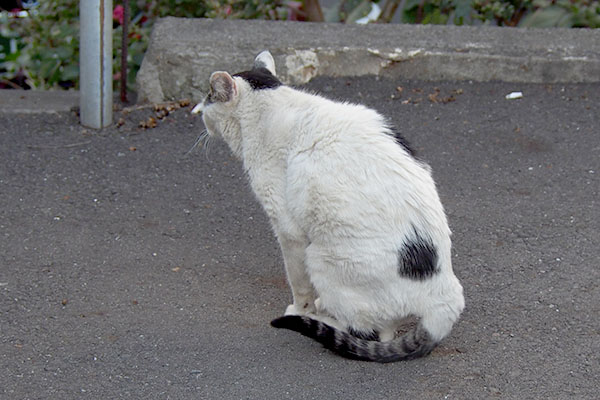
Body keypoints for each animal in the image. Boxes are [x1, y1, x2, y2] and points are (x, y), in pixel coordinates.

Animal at [195, 50, 466, 362]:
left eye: (208, 96)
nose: (198, 110)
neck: (267, 107)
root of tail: (445, 297)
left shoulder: (288, 231)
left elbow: (298, 284)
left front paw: (301, 309)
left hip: (321, 258)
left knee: (369, 333)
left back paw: (323, 319)